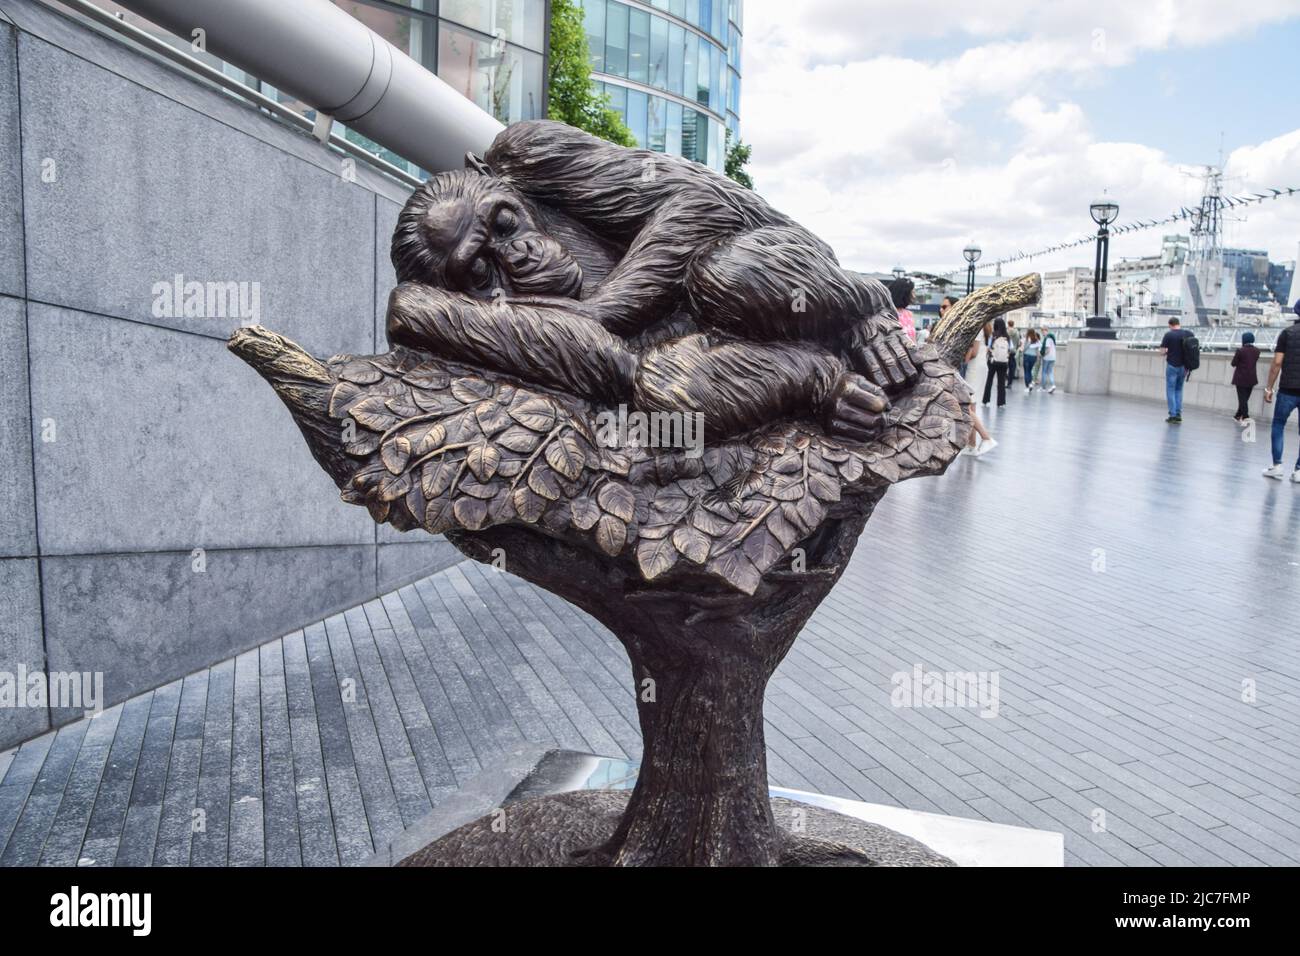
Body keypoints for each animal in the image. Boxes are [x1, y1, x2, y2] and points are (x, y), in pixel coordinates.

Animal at [384, 120, 922, 442]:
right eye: (478, 271)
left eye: (503, 223)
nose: (520, 256)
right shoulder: (410, 304)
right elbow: (638, 372)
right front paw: (828, 383)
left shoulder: (531, 144)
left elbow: (690, 196)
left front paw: (593, 307)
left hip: (800, 246)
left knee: (727, 268)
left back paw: (874, 308)